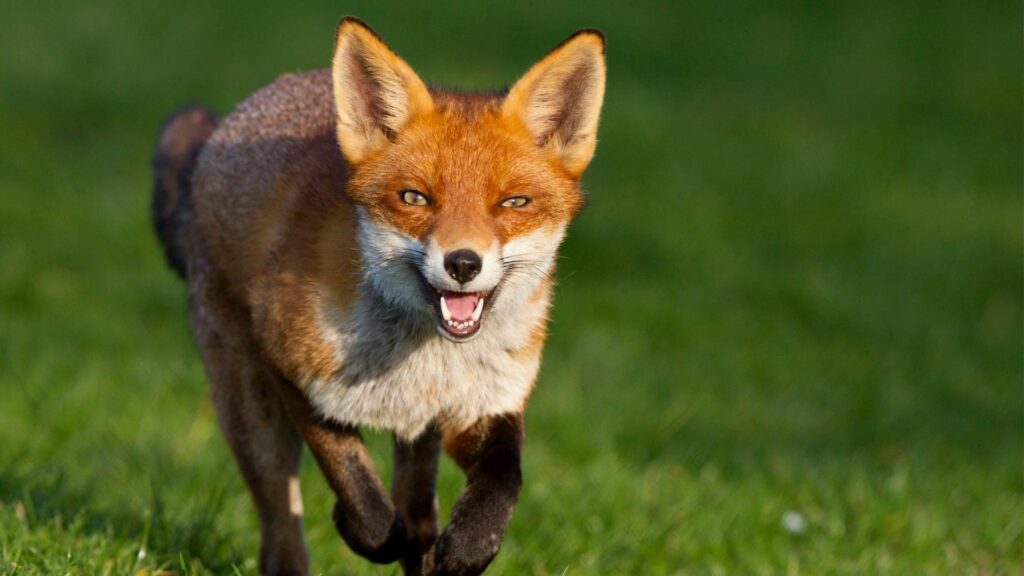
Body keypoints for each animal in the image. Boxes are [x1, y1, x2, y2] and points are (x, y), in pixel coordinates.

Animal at [151, 16, 605, 576]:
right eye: (414, 198)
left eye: (514, 203)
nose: (462, 263)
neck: (424, 363)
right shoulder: (294, 374)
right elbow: (359, 490)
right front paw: (355, 527)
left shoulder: (484, 405)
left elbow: (503, 481)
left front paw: (468, 548)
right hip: (250, 413)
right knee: (281, 528)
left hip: (417, 438)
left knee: (419, 508)